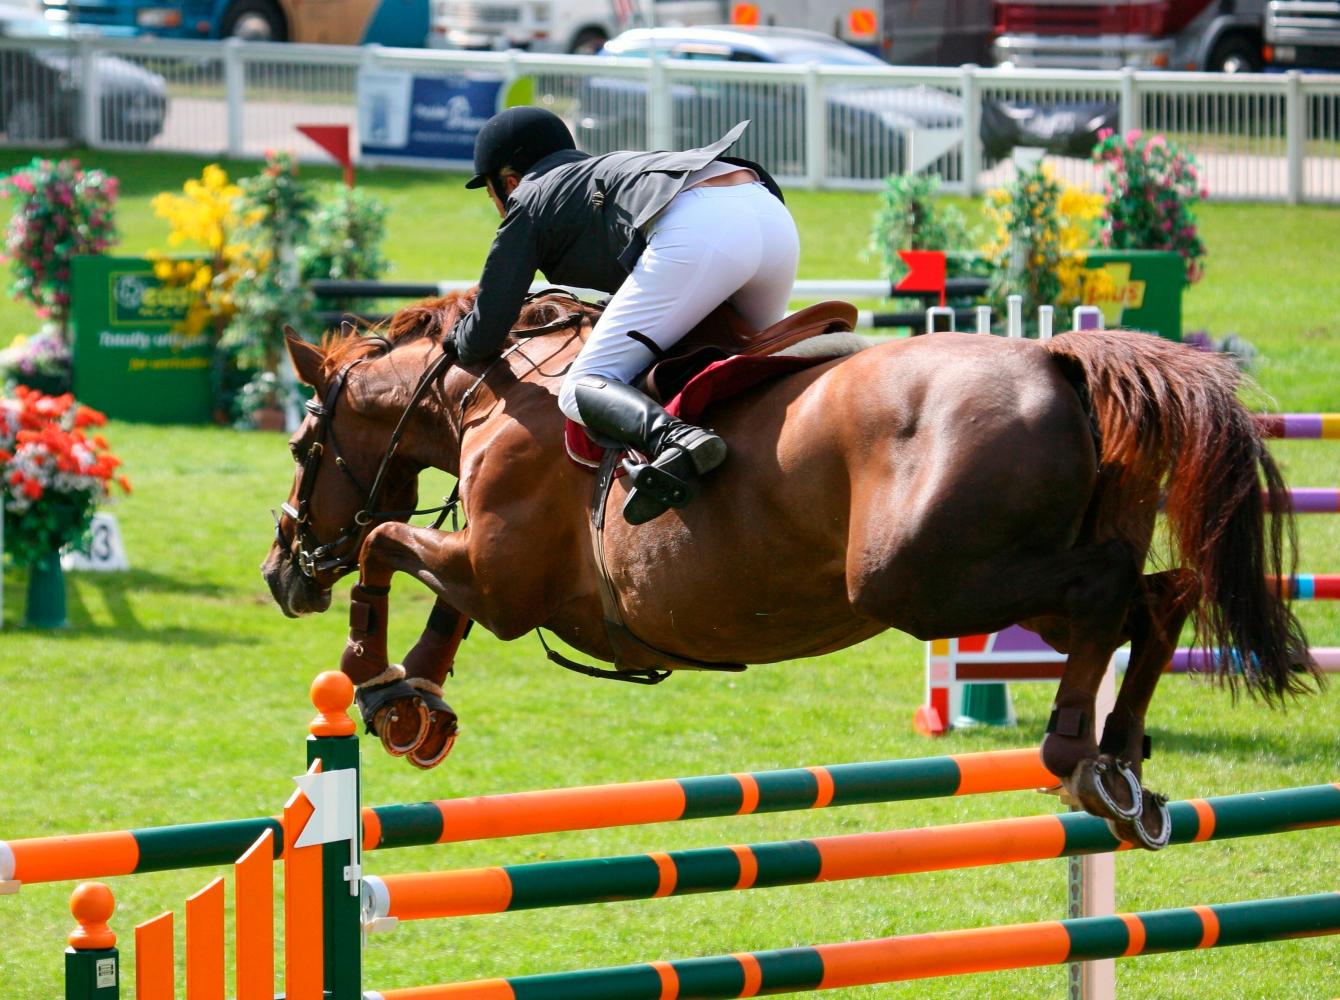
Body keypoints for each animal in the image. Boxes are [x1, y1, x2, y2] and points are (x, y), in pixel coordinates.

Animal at [263, 290, 1318, 847]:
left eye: (304, 446)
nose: (282, 574)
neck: (493, 393)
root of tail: (1060, 358)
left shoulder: (501, 577)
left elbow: (382, 545)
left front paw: (369, 672)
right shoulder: (492, 573)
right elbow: (433, 596)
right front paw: (413, 705)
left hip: (927, 584)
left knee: (1114, 596)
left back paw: (1074, 754)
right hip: (1005, 578)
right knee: (1156, 600)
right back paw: (1122, 761)